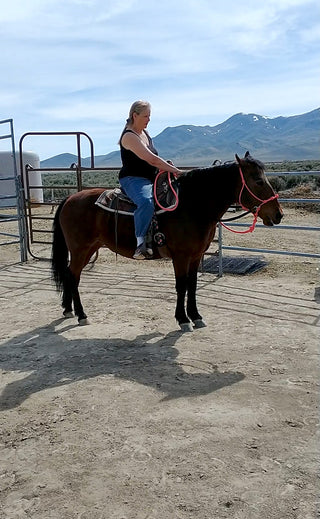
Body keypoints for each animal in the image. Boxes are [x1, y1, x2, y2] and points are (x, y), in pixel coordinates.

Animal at [50, 150, 282, 332]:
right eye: (258, 181)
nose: (278, 214)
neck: (191, 205)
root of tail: (70, 198)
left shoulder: (196, 256)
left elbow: (192, 285)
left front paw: (196, 316)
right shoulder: (180, 256)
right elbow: (181, 286)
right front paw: (183, 319)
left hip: (89, 248)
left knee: (70, 274)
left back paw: (68, 310)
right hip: (80, 249)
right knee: (73, 276)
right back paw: (81, 315)